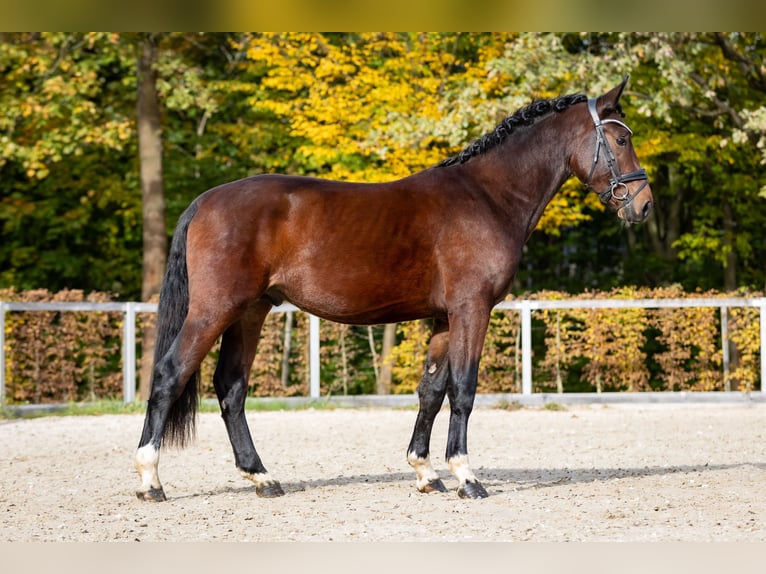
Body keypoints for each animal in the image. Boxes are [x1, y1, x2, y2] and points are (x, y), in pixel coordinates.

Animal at [136, 77, 656, 504]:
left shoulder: (445, 317)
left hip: (250, 311)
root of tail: (204, 201)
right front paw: (466, 477)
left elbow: (432, 390)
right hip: (215, 310)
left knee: (232, 388)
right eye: (621, 139)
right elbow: (463, 390)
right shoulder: (472, 309)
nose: (644, 205)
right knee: (169, 375)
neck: (488, 197)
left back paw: (263, 478)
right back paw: (150, 480)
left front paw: (426, 473)